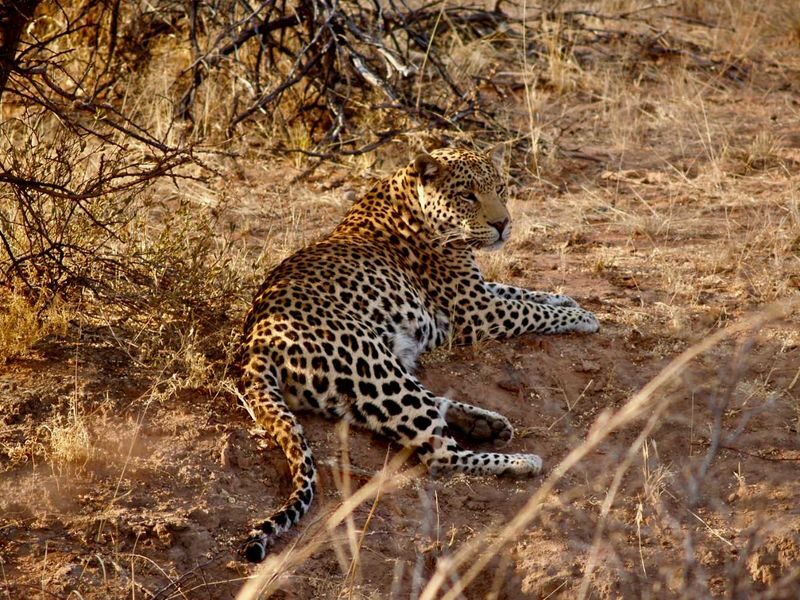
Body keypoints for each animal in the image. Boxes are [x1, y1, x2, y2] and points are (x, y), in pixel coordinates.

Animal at [238, 145, 599, 562]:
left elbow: (519, 290)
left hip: (375, 375)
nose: (503, 224)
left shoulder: (480, 291)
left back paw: (487, 424)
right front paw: (582, 316)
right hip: (372, 364)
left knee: (426, 410)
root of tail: (254, 343)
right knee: (440, 454)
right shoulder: (473, 309)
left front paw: (564, 298)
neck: (410, 198)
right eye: (467, 196)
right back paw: (522, 461)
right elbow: (529, 309)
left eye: (500, 188)